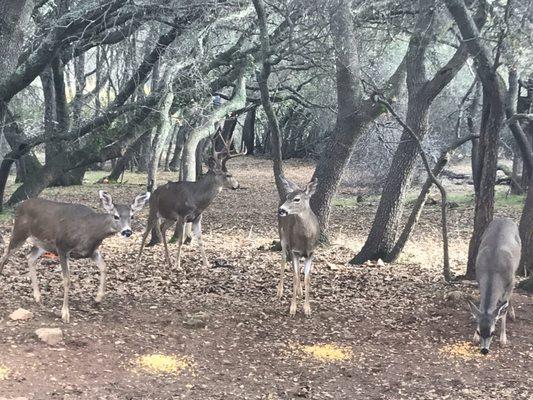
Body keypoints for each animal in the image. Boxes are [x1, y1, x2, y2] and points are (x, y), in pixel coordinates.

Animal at [0, 189, 151, 324]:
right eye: (116, 216)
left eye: (132, 216)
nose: (127, 232)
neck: (89, 231)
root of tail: (20, 205)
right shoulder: (62, 247)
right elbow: (67, 280)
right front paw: (65, 313)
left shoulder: (92, 251)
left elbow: (104, 267)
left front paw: (98, 299)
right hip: (19, 232)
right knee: (5, 255)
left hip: (42, 244)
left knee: (30, 257)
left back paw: (38, 297)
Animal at [137, 131, 245, 268]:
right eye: (228, 175)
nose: (238, 185)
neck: (197, 200)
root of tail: (153, 193)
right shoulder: (182, 215)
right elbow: (180, 241)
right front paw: (178, 265)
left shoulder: (197, 218)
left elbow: (200, 240)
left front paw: (207, 264)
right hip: (153, 210)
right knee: (145, 233)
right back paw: (138, 259)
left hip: (170, 217)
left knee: (162, 228)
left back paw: (168, 261)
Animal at [276, 177, 318, 318]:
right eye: (288, 197)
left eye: (297, 199)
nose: (281, 210)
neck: (305, 238)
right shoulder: (295, 250)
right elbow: (294, 277)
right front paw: (292, 309)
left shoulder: (311, 253)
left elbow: (307, 278)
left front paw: (307, 309)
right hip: (282, 235)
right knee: (283, 258)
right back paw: (280, 291)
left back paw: (300, 291)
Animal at [466, 219, 520, 354]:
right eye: (479, 331)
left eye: (492, 332)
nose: (484, 350)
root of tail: (505, 218)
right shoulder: (479, 280)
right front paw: (474, 337)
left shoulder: (510, 281)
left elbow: (503, 311)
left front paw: (503, 340)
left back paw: (512, 314)